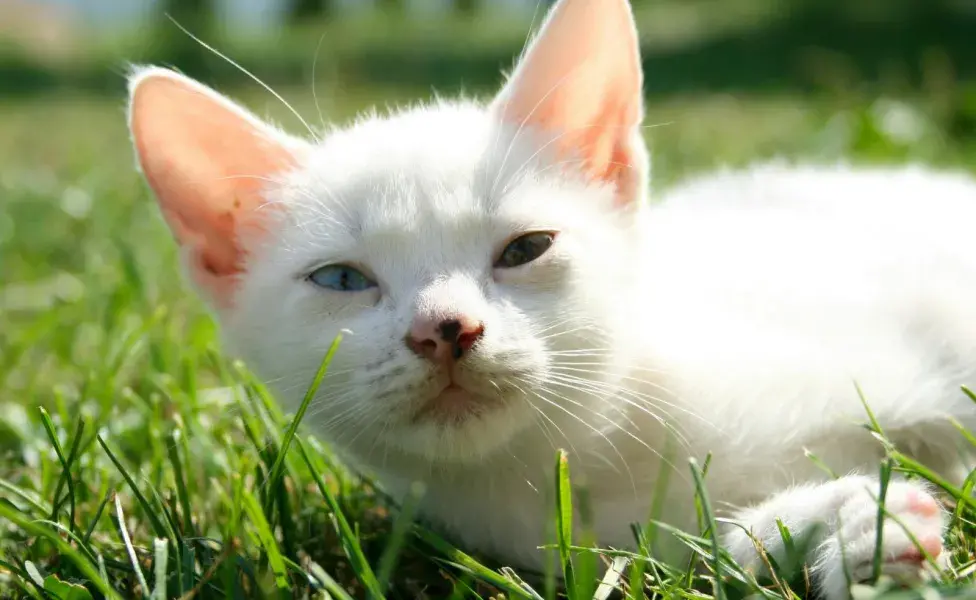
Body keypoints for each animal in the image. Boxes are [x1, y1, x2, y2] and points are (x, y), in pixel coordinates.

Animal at [126, 0, 976, 596]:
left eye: (525, 248)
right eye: (341, 280)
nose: (445, 328)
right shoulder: (645, 538)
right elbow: (728, 545)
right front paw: (853, 530)